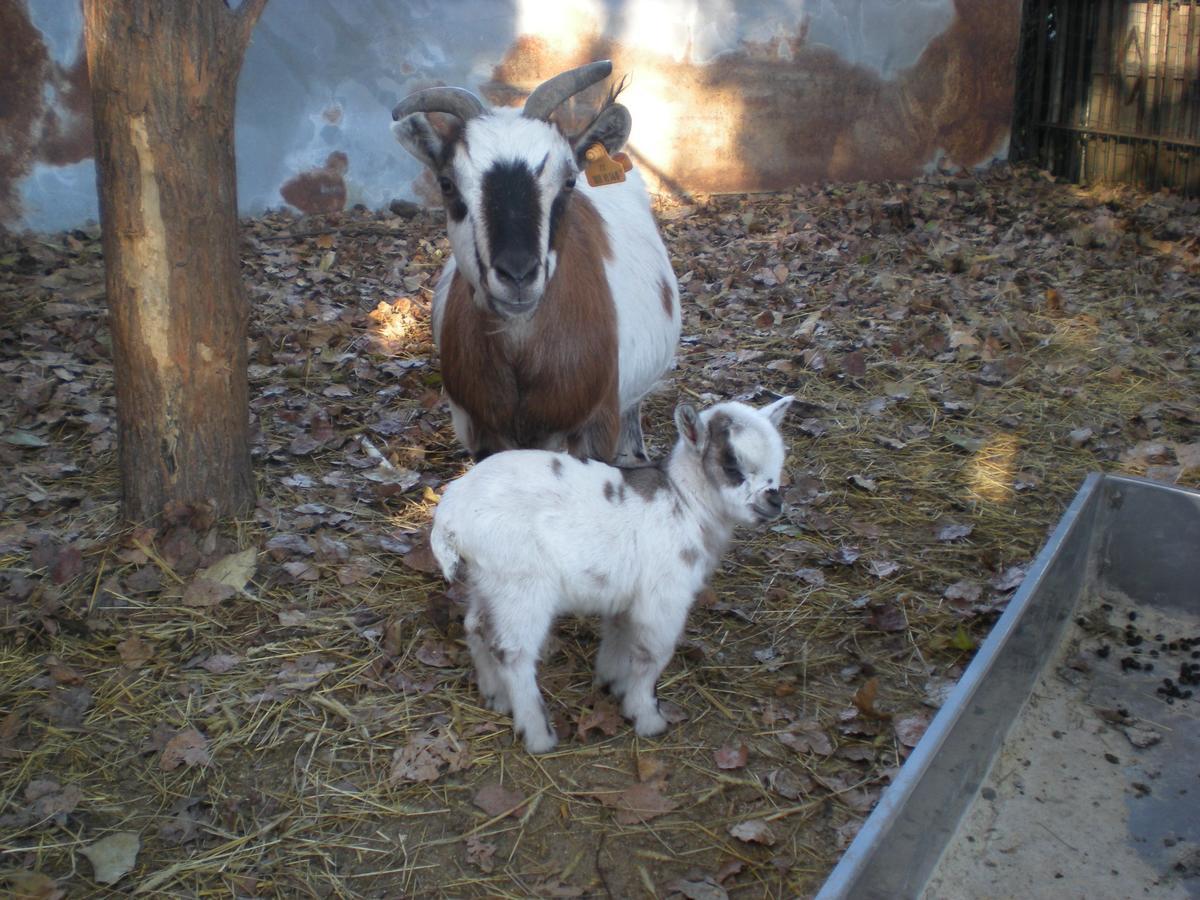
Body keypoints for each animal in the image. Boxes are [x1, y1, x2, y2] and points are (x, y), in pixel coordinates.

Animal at [434, 393, 796, 753]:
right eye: (732, 466)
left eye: (777, 465)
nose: (774, 501)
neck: (684, 501)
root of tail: (449, 516)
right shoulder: (664, 598)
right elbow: (652, 654)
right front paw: (646, 716)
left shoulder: (626, 595)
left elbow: (620, 636)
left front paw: (612, 683)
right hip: (522, 584)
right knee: (512, 651)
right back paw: (538, 734)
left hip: (488, 580)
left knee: (476, 626)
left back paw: (496, 696)